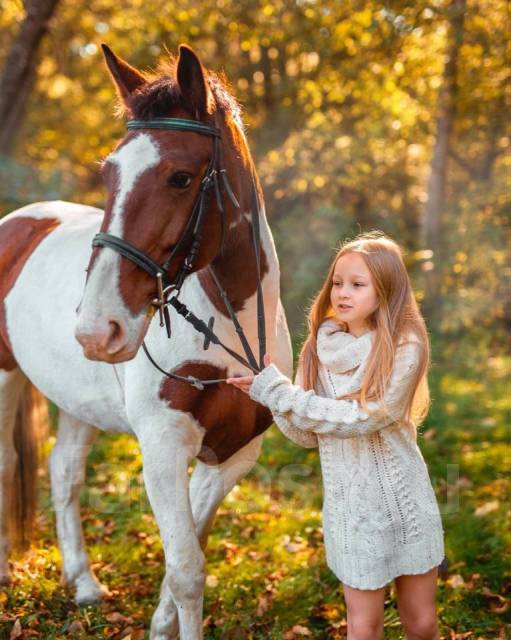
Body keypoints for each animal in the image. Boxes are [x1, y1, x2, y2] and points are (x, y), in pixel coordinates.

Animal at [0, 42, 292, 636]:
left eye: (180, 177)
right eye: (109, 173)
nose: (97, 328)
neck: (231, 333)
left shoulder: (233, 455)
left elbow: (189, 550)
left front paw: (161, 626)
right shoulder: (162, 445)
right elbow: (186, 570)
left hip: (78, 402)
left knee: (64, 472)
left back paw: (84, 582)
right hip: (3, 374)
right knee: (6, 466)